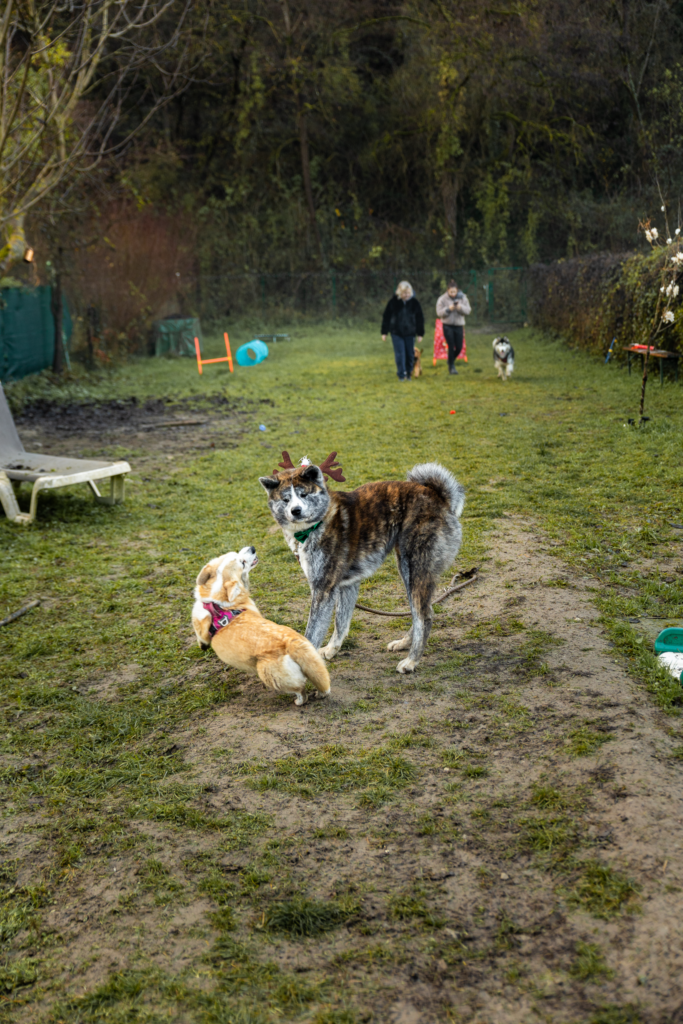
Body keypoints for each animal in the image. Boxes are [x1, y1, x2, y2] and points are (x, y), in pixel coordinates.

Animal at [192, 548, 331, 708]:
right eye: (241, 561)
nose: (252, 548)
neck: (217, 602)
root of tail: (291, 642)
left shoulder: (200, 625)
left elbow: (201, 637)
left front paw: (203, 646)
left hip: (268, 674)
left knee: (300, 690)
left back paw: (299, 701)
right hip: (313, 661)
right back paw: (320, 694)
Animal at [260, 456, 464, 671]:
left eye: (303, 495)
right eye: (285, 499)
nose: (296, 510)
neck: (318, 523)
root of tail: (438, 497)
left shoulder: (323, 589)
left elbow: (313, 632)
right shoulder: (346, 585)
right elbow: (341, 623)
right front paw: (331, 650)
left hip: (413, 568)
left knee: (423, 616)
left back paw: (411, 661)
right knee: (425, 612)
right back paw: (403, 643)